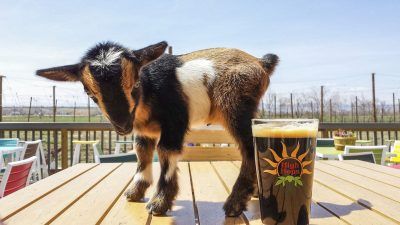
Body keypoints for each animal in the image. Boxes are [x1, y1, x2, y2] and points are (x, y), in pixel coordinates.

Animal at [36, 41, 278, 217]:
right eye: (89, 93)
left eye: (134, 84)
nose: (122, 125)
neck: (149, 91)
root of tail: (260, 62)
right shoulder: (143, 131)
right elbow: (142, 152)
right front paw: (135, 191)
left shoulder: (175, 121)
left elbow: (165, 151)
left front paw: (159, 202)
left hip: (236, 107)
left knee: (249, 148)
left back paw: (235, 203)